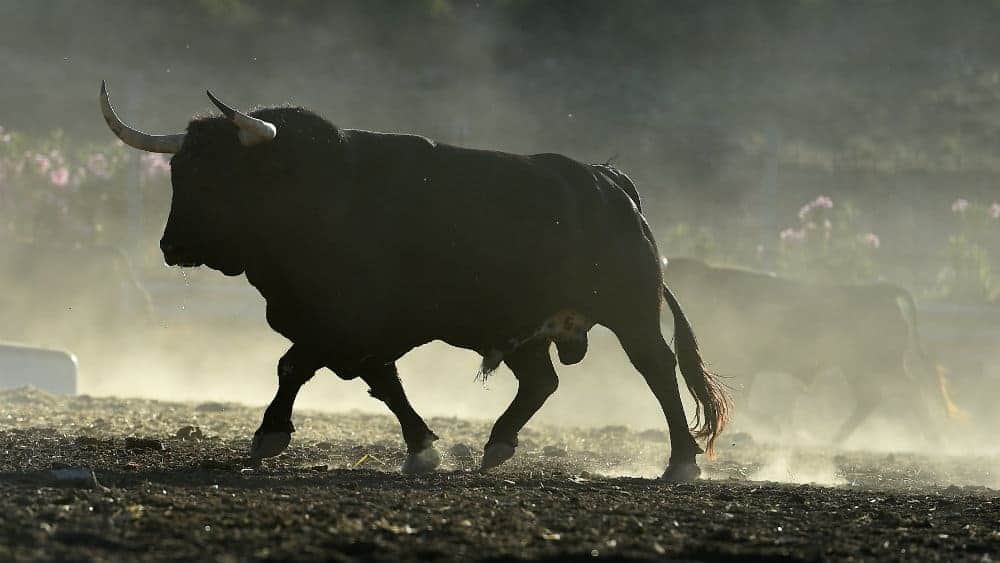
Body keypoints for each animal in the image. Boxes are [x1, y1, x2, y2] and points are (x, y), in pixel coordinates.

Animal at [99, 83, 728, 480]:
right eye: (180, 170)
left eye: (222, 174)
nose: (171, 247)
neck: (321, 194)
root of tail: (610, 183)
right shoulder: (355, 333)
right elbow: (380, 383)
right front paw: (422, 447)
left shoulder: (349, 322)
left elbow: (295, 365)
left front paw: (270, 433)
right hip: (525, 330)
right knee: (541, 382)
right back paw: (497, 445)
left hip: (631, 313)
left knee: (658, 369)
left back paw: (681, 461)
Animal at [660, 256, 956, 446]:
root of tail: (880, 292)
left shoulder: (744, 364)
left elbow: (742, 401)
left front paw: (775, 426)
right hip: (859, 369)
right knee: (873, 398)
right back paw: (833, 439)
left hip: (877, 366)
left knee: (906, 390)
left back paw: (935, 439)